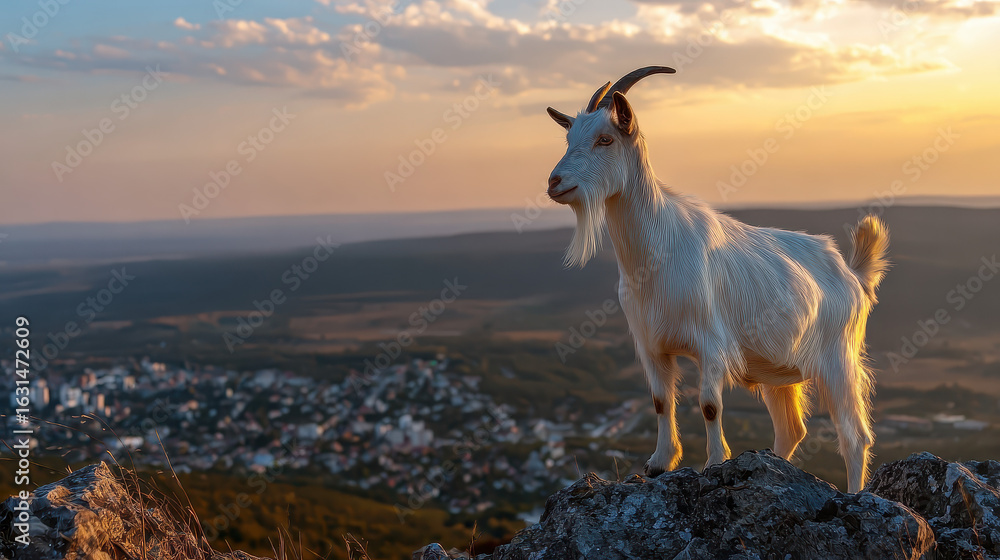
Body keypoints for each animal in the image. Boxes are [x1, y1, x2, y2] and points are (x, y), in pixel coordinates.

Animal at [545, 67, 889, 493]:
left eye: (605, 139)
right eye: (569, 138)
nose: (554, 182)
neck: (655, 249)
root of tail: (853, 273)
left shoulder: (711, 344)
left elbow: (709, 405)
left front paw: (713, 463)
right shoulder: (651, 345)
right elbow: (661, 401)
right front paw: (659, 463)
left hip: (839, 361)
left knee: (854, 436)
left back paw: (855, 492)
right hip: (781, 373)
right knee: (792, 430)